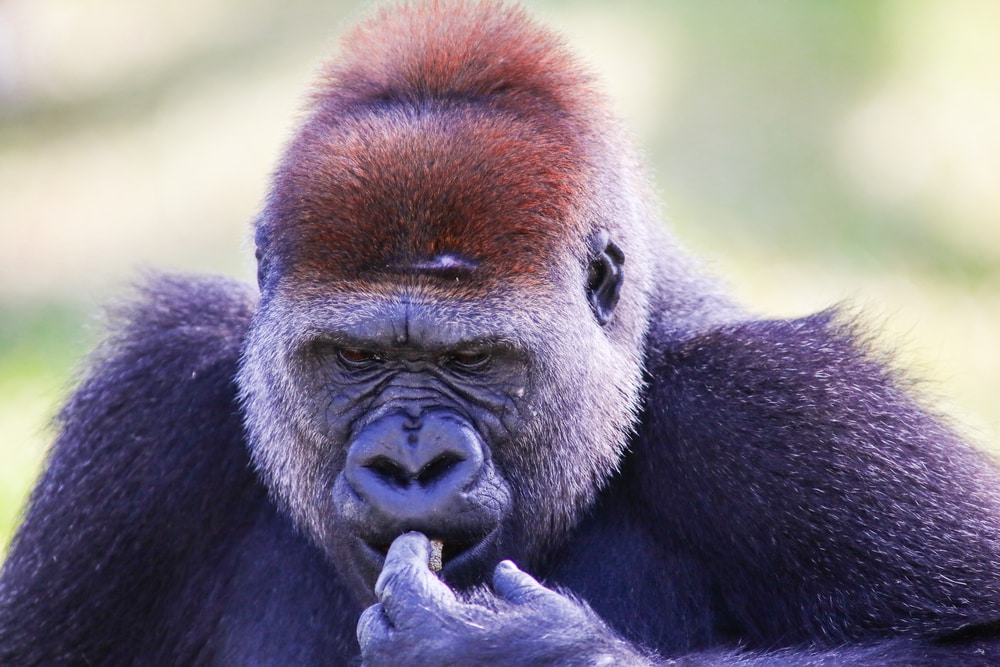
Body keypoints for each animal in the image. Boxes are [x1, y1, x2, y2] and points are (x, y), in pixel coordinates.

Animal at [2, 1, 1000, 665]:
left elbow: (974, 638)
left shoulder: (783, 407)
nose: (411, 464)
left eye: (472, 359)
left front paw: (517, 649)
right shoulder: (149, 408)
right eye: (358, 357)